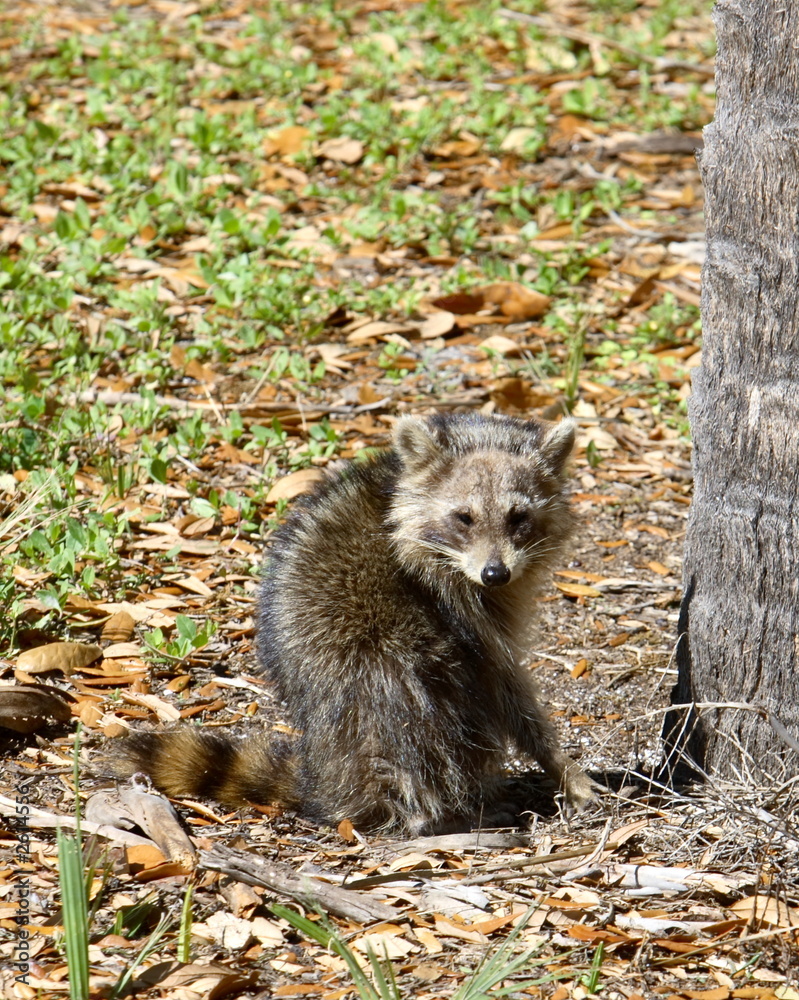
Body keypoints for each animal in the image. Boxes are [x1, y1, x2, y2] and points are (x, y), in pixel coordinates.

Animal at [112, 412, 596, 835]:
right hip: (384, 674)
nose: (496, 573)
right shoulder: (458, 604)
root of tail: (331, 779)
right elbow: (504, 682)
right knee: (427, 709)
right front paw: (557, 760)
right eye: (464, 518)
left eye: (519, 518)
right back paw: (440, 815)